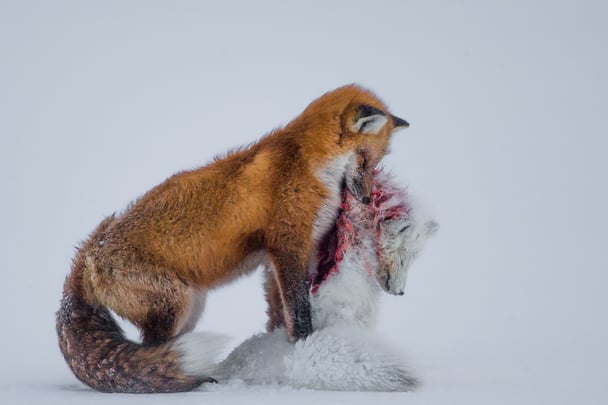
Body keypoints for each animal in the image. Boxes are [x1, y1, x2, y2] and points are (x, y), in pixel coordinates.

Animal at [57, 84, 408, 392]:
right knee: (152, 356)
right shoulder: (288, 245)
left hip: (190, 308)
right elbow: (298, 311)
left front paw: (280, 352)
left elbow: (279, 314)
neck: (307, 162)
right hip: (175, 303)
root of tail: (87, 255)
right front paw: (304, 348)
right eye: (364, 158)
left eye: (375, 162)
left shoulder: (275, 261)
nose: (365, 199)